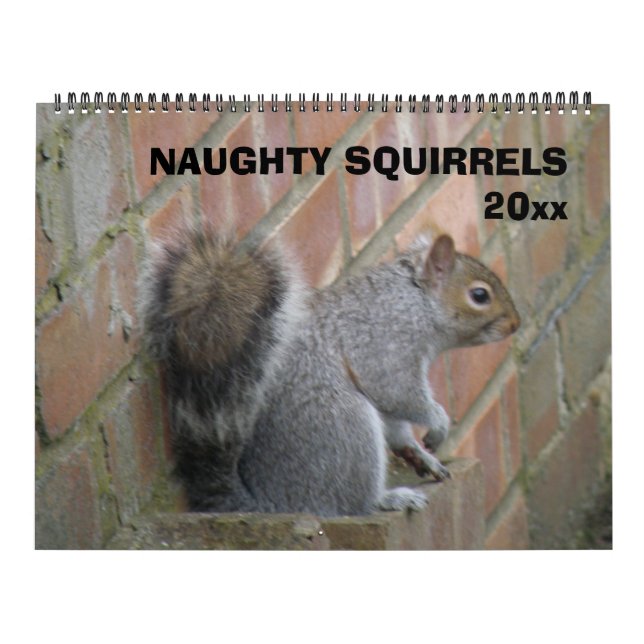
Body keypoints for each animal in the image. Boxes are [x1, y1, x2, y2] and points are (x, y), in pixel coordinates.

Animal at [140, 227, 520, 517]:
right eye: (480, 295)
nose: (515, 324)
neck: (416, 300)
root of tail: (276, 504)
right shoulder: (385, 344)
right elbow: (398, 392)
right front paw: (438, 423)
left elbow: (396, 422)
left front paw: (419, 453)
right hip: (343, 425)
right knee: (347, 505)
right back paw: (387, 500)